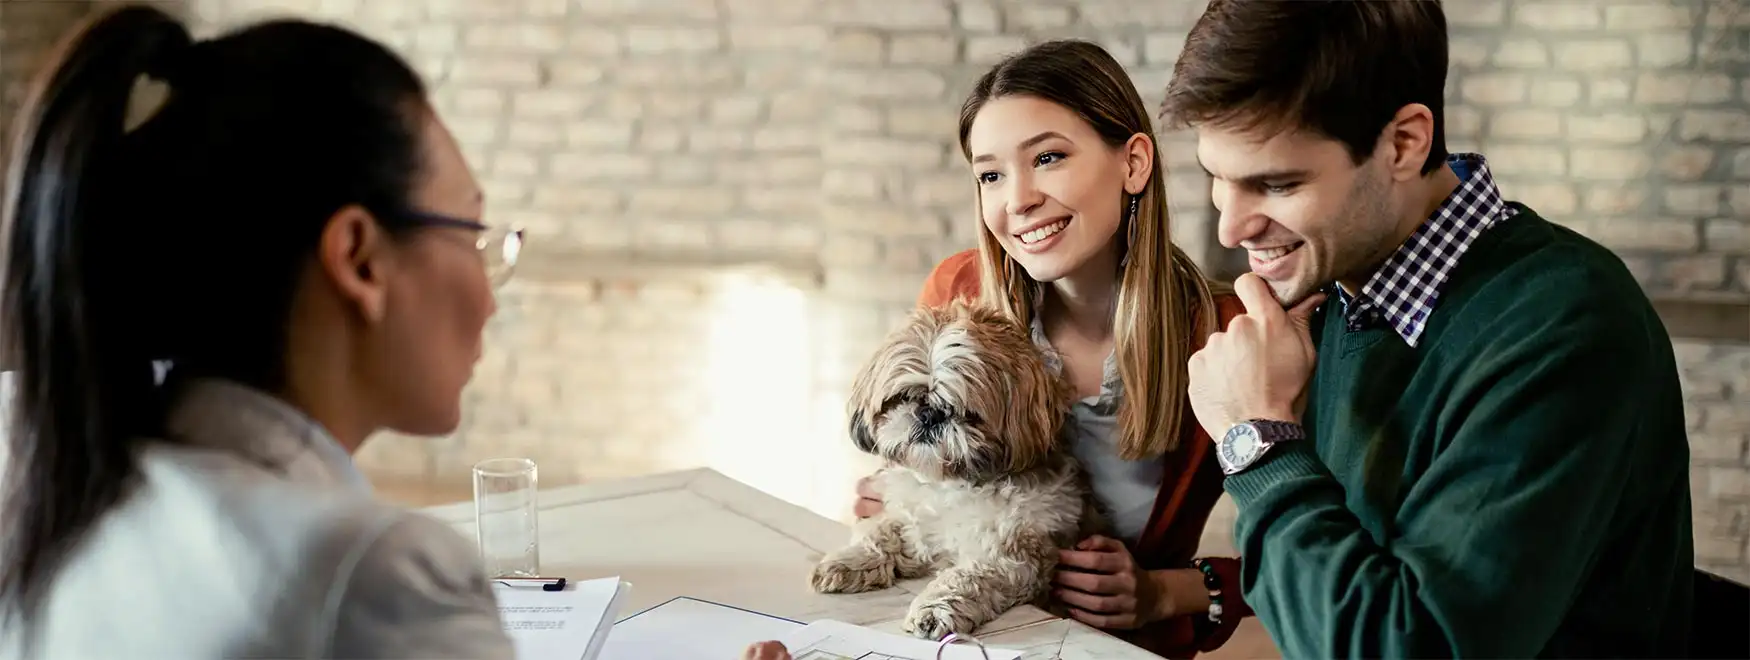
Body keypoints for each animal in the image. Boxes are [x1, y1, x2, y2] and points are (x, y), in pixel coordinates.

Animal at [808, 297, 1106, 637]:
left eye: (967, 412)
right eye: (904, 397)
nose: (929, 414)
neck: (952, 483)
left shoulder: (1011, 555)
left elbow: (968, 578)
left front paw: (932, 611)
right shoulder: (914, 520)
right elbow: (883, 530)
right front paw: (850, 560)